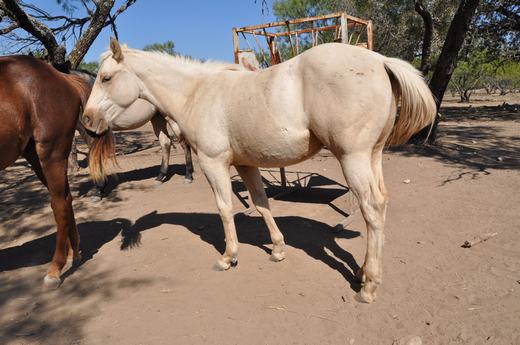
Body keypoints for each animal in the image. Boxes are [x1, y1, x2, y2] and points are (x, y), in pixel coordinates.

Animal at [0, 55, 115, 288]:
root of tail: (62, 77)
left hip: (50, 153)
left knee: (60, 203)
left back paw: (56, 269)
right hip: (36, 156)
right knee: (66, 198)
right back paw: (74, 253)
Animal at [81, 38, 436, 300]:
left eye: (106, 77)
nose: (87, 121)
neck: (197, 93)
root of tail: (380, 61)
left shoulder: (213, 164)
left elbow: (225, 209)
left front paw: (228, 257)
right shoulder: (246, 164)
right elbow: (262, 204)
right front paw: (277, 250)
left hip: (353, 157)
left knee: (372, 208)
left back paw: (369, 286)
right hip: (372, 155)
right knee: (380, 204)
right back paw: (362, 271)